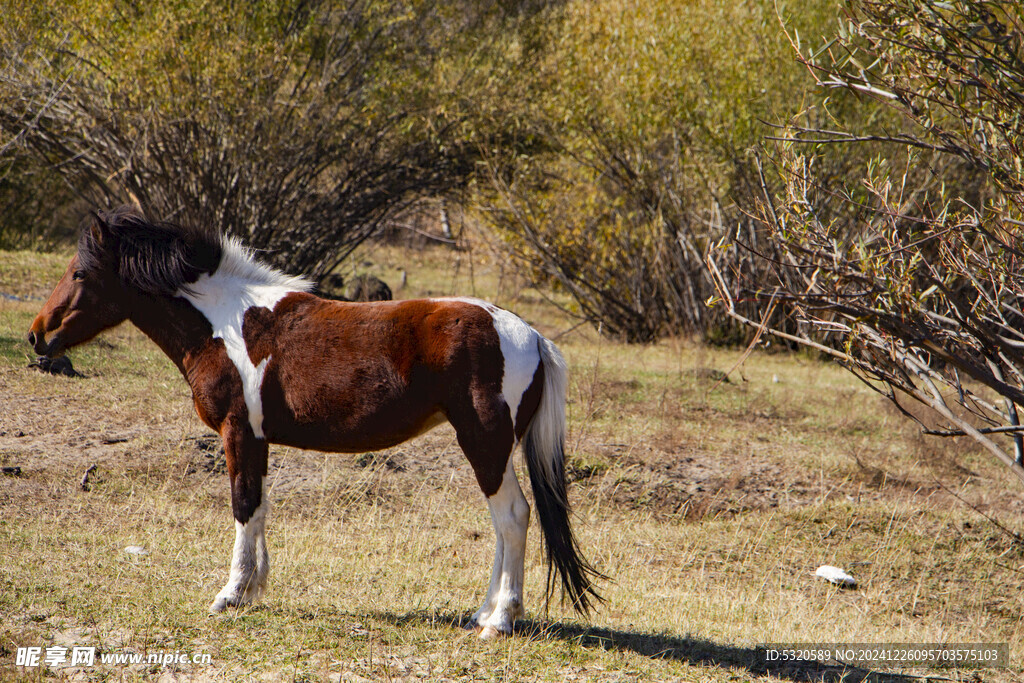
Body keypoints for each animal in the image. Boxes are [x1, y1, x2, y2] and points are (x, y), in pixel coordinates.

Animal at [28, 206, 598, 634]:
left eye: (80, 274)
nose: (37, 336)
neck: (224, 324)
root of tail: (529, 334)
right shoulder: (256, 440)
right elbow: (258, 509)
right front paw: (253, 590)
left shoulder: (239, 433)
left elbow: (243, 506)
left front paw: (230, 595)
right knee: (504, 525)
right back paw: (483, 612)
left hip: (486, 444)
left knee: (513, 517)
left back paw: (499, 620)